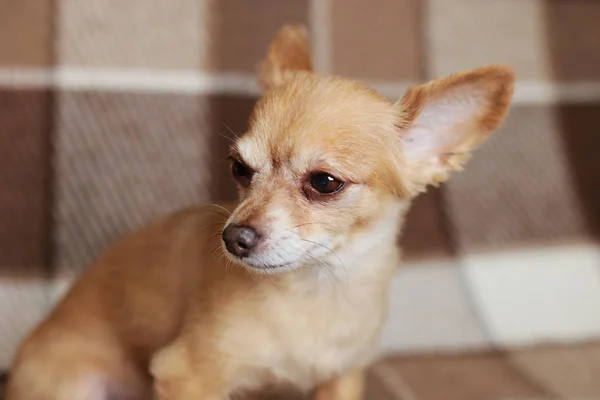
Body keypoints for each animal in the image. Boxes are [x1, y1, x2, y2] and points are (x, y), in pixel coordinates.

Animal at [5, 25, 516, 400]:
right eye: (239, 168)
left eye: (324, 183)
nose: (235, 237)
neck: (318, 289)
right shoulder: (188, 376)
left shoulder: (342, 378)